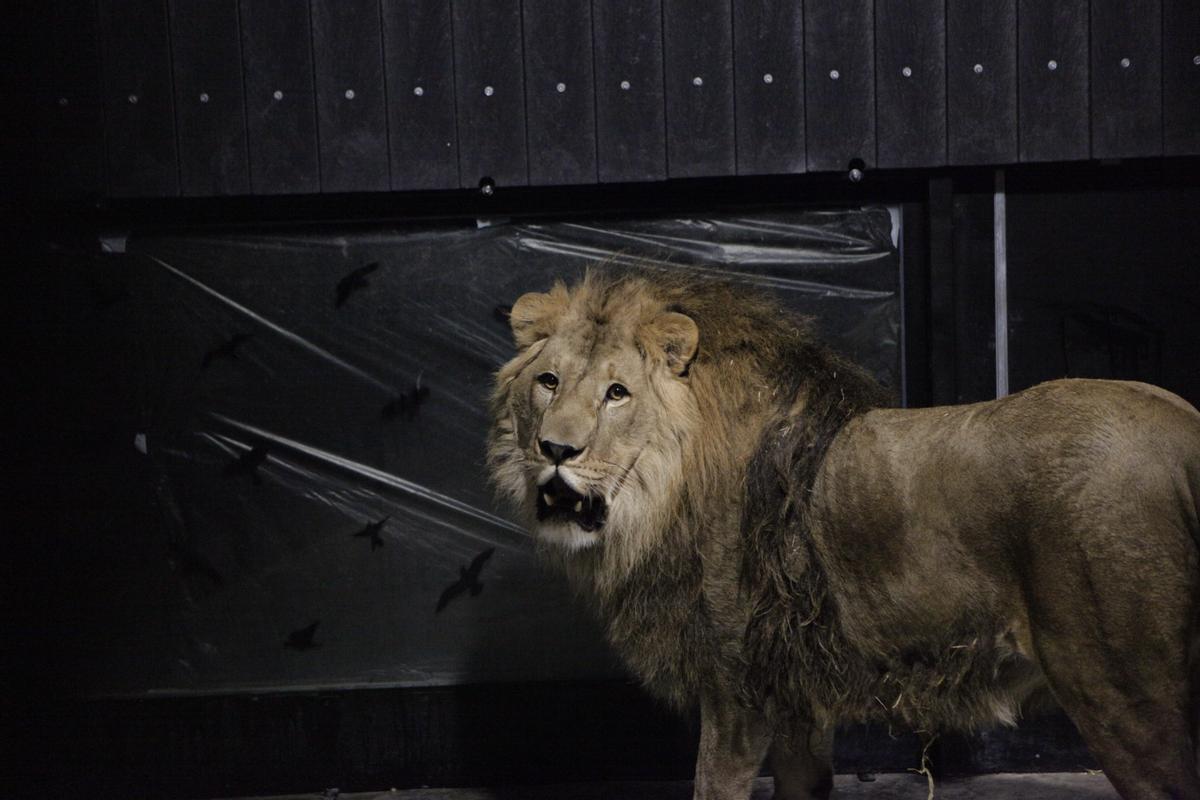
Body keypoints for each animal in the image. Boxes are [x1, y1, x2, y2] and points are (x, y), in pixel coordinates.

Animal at [487, 270, 1200, 800]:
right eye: (548, 382)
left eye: (617, 393)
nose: (556, 450)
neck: (660, 491)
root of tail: (1183, 428)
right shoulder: (795, 692)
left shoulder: (737, 687)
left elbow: (713, 785)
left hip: (1123, 688)